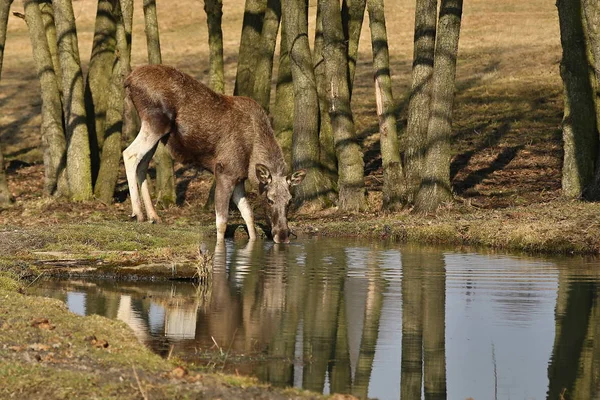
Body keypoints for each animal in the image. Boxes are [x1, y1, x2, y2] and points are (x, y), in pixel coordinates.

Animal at [124, 65, 308, 244]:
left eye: (290, 200)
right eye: (270, 200)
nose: (283, 235)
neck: (251, 157)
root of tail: (129, 79)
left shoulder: (238, 178)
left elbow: (248, 216)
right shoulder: (224, 172)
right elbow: (222, 222)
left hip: (155, 131)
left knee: (143, 164)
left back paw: (153, 216)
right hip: (156, 122)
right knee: (130, 154)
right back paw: (138, 213)